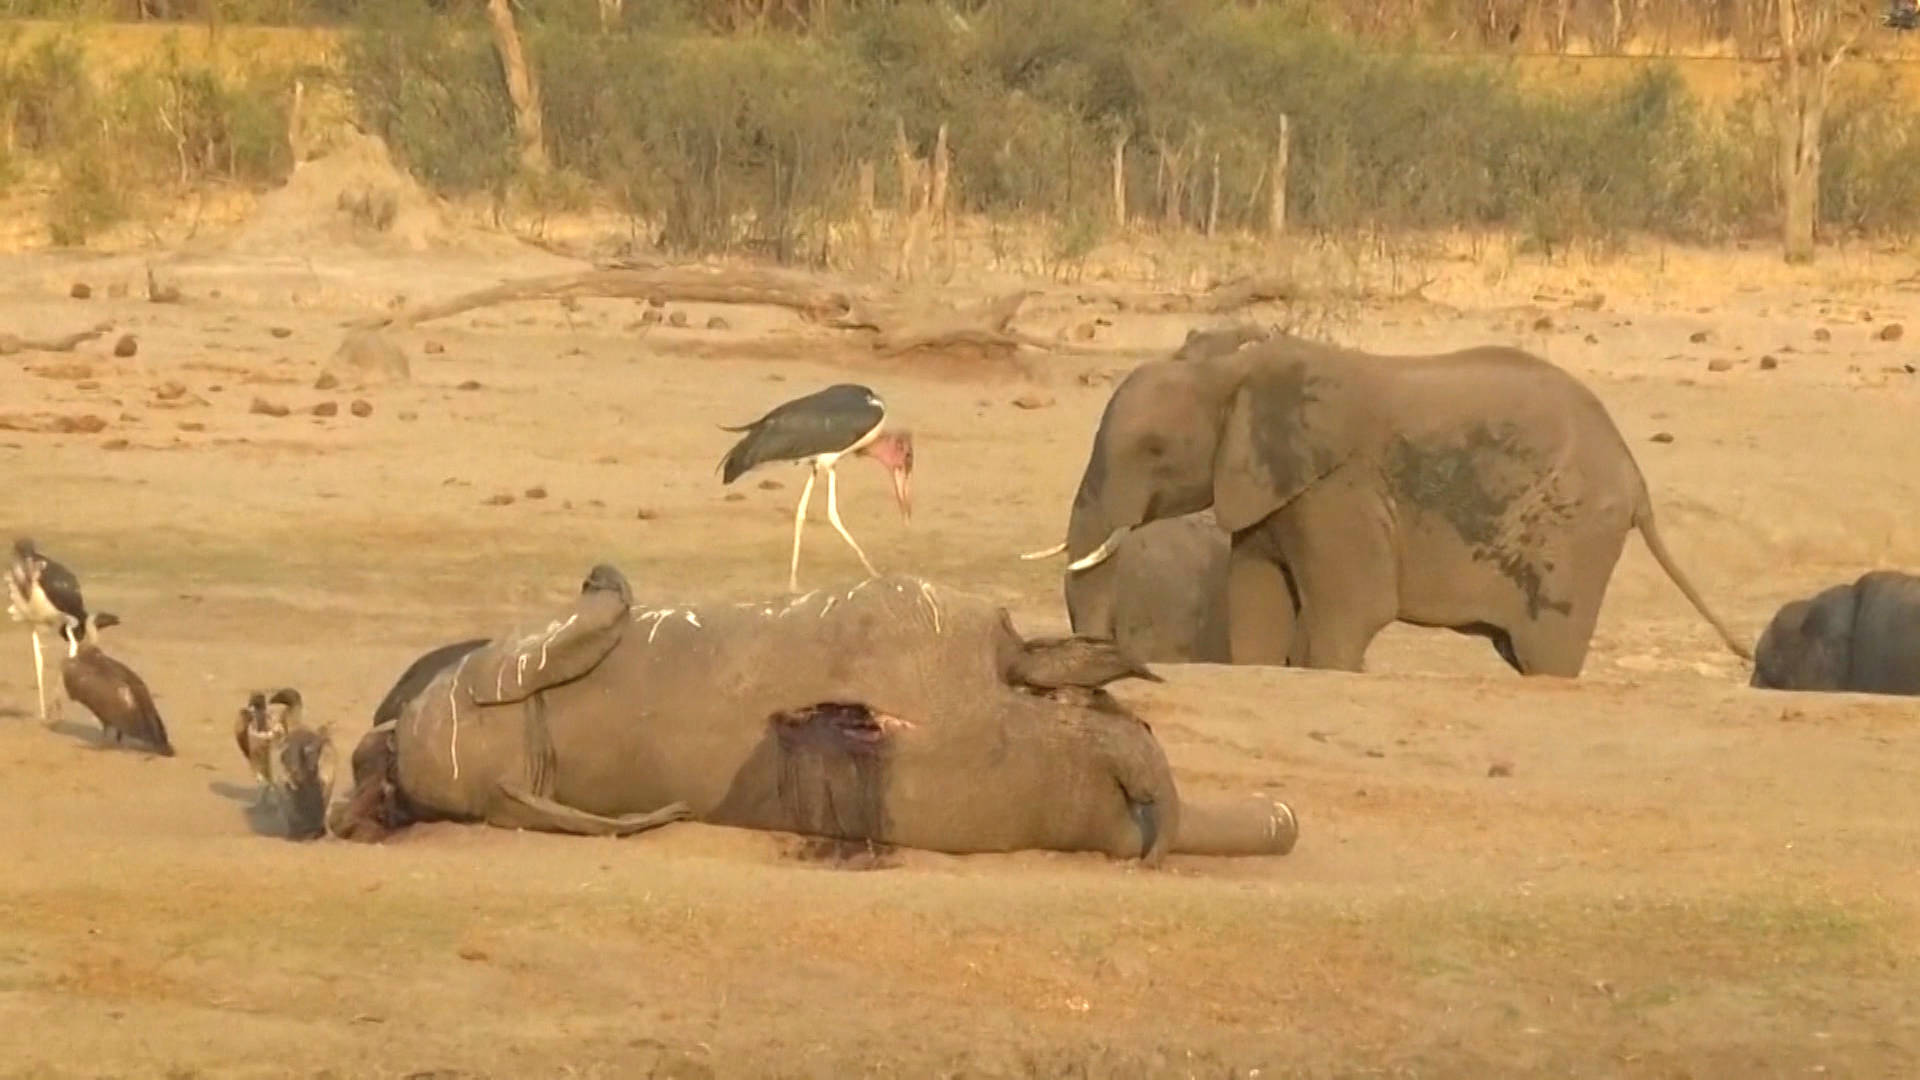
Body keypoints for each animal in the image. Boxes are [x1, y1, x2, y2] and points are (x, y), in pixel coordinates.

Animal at [1028, 333, 1752, 676]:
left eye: (1153, 450)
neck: (1235, 372)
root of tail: (1635, 474)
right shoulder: (1268, 493)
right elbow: (1258, 601)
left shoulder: (1336, 487)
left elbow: (1351, 611)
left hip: (1570, 538)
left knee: (1546, 653)